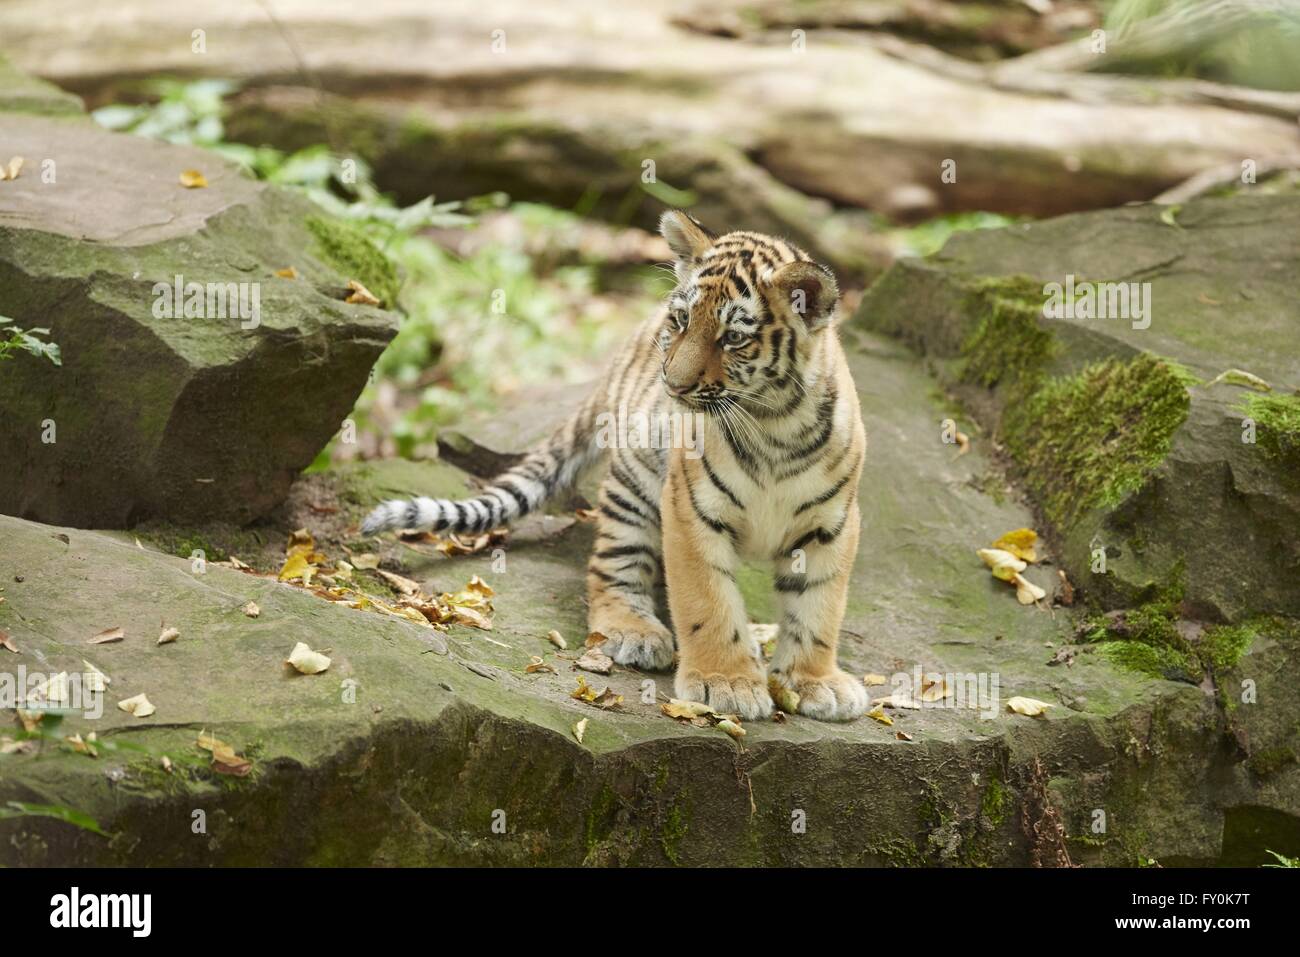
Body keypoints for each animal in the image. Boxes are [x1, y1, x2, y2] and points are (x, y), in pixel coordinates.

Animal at [361, 209, 868, 717]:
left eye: (733, 338)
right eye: (682, 319)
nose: (673, 384)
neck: (773, 425)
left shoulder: (832, 524)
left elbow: (819, 606)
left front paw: (814, 682)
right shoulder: (691, 509)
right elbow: (709, 601)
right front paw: (724, 682)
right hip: (634, 484)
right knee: (611, 567)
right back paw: (634, 630)